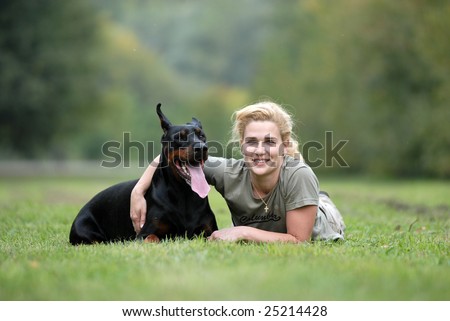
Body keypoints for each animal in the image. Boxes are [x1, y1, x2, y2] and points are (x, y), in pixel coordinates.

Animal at [69, 104, 219, 244]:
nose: (202, 148)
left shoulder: (209, 231)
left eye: (202, 136)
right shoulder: (143, 234)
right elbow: (152, 238)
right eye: (179, 137)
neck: (184, 193)